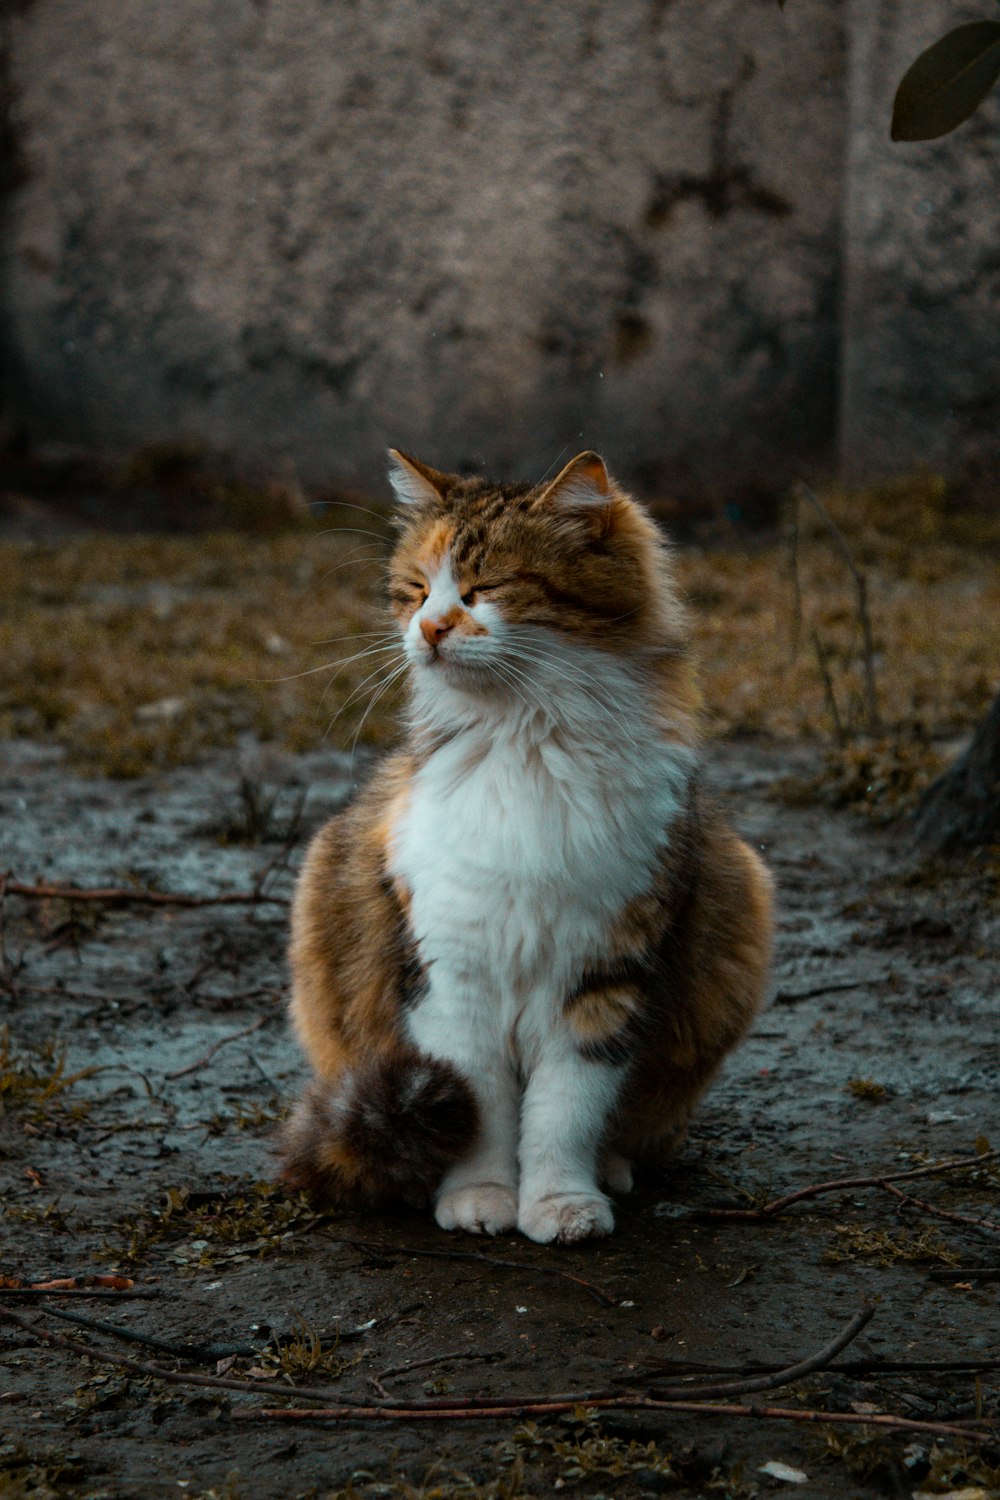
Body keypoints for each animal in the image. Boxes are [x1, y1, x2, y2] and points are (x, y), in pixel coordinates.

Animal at [281, 447, 773, 1242]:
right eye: (415, 590)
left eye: (486, 588)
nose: (430, 629)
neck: (526, 741)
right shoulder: (453, 977)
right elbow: (482, 1109)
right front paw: (480, 1199)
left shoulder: (603, 974)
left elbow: (562, 1113)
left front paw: (561, 1204)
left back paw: (610, 1170)